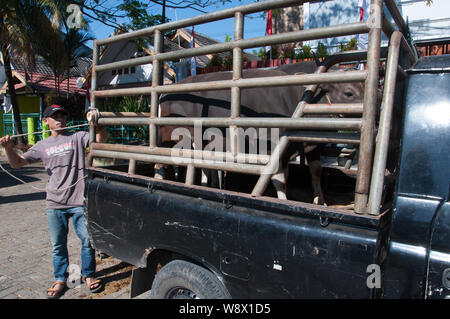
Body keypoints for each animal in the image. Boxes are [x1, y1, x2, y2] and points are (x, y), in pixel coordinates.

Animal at [155, 62, 366, 206]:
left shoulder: (307, 145)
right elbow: (279, 179)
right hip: (170, 139)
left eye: (364, 86)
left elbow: (315, 171)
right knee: (160, 163)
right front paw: (283, 201)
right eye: (349, 92)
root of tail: (166, 94)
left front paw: (320, 201)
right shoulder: (271, 148)